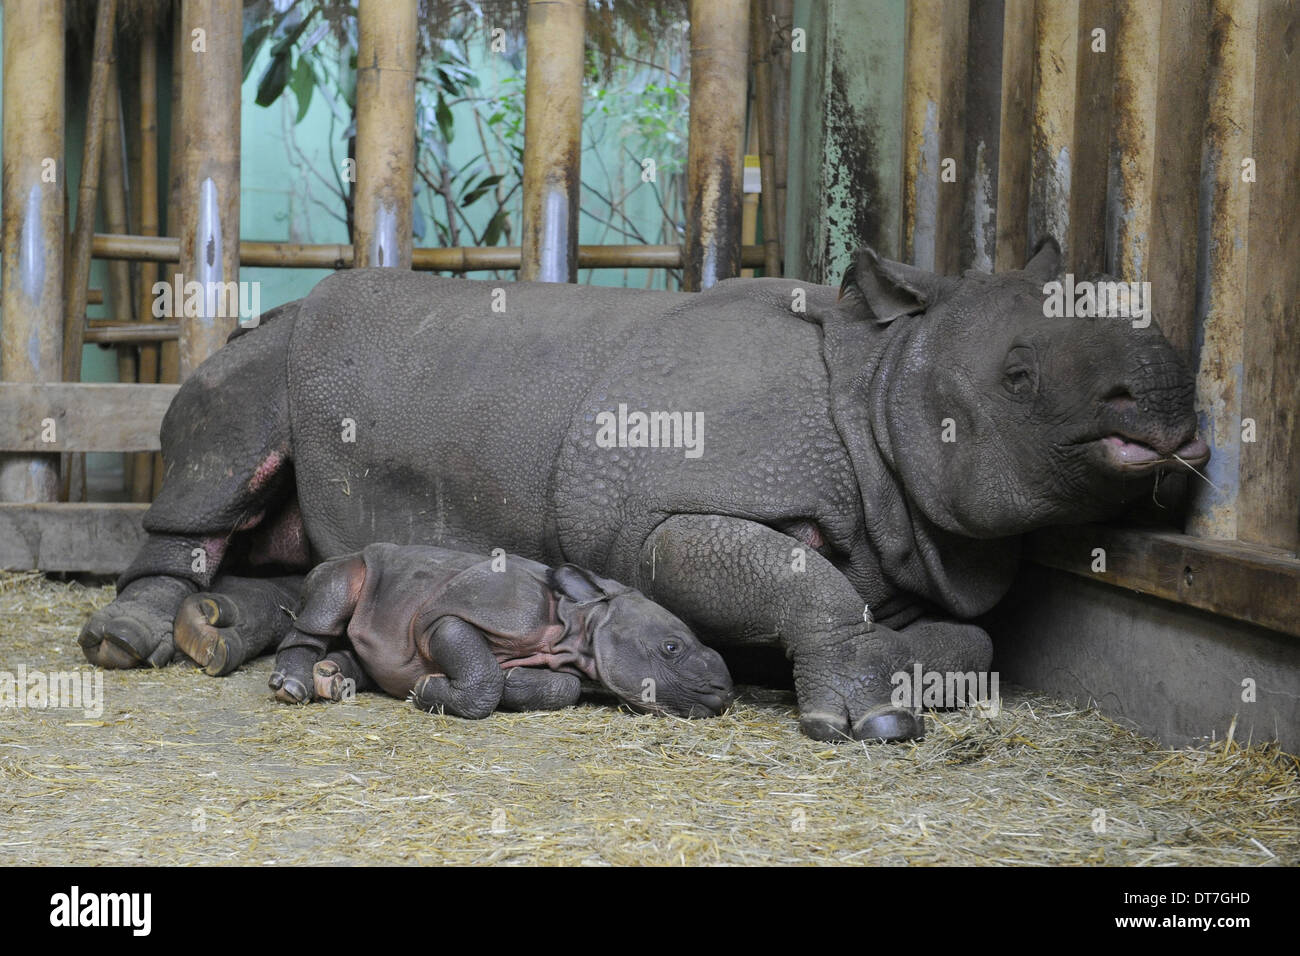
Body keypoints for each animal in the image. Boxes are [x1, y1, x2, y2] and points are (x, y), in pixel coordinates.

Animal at [79, 239, 1207, 742]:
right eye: (1017, 378)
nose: (1167, 395)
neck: (882, 381)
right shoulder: (656, 513)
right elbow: (797, 579)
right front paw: (858, 720)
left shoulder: (907, 545)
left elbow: (964, 638)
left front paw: (889, 675)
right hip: (268, 351)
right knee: (217, 467)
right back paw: (127, 644)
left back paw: (222, 635)